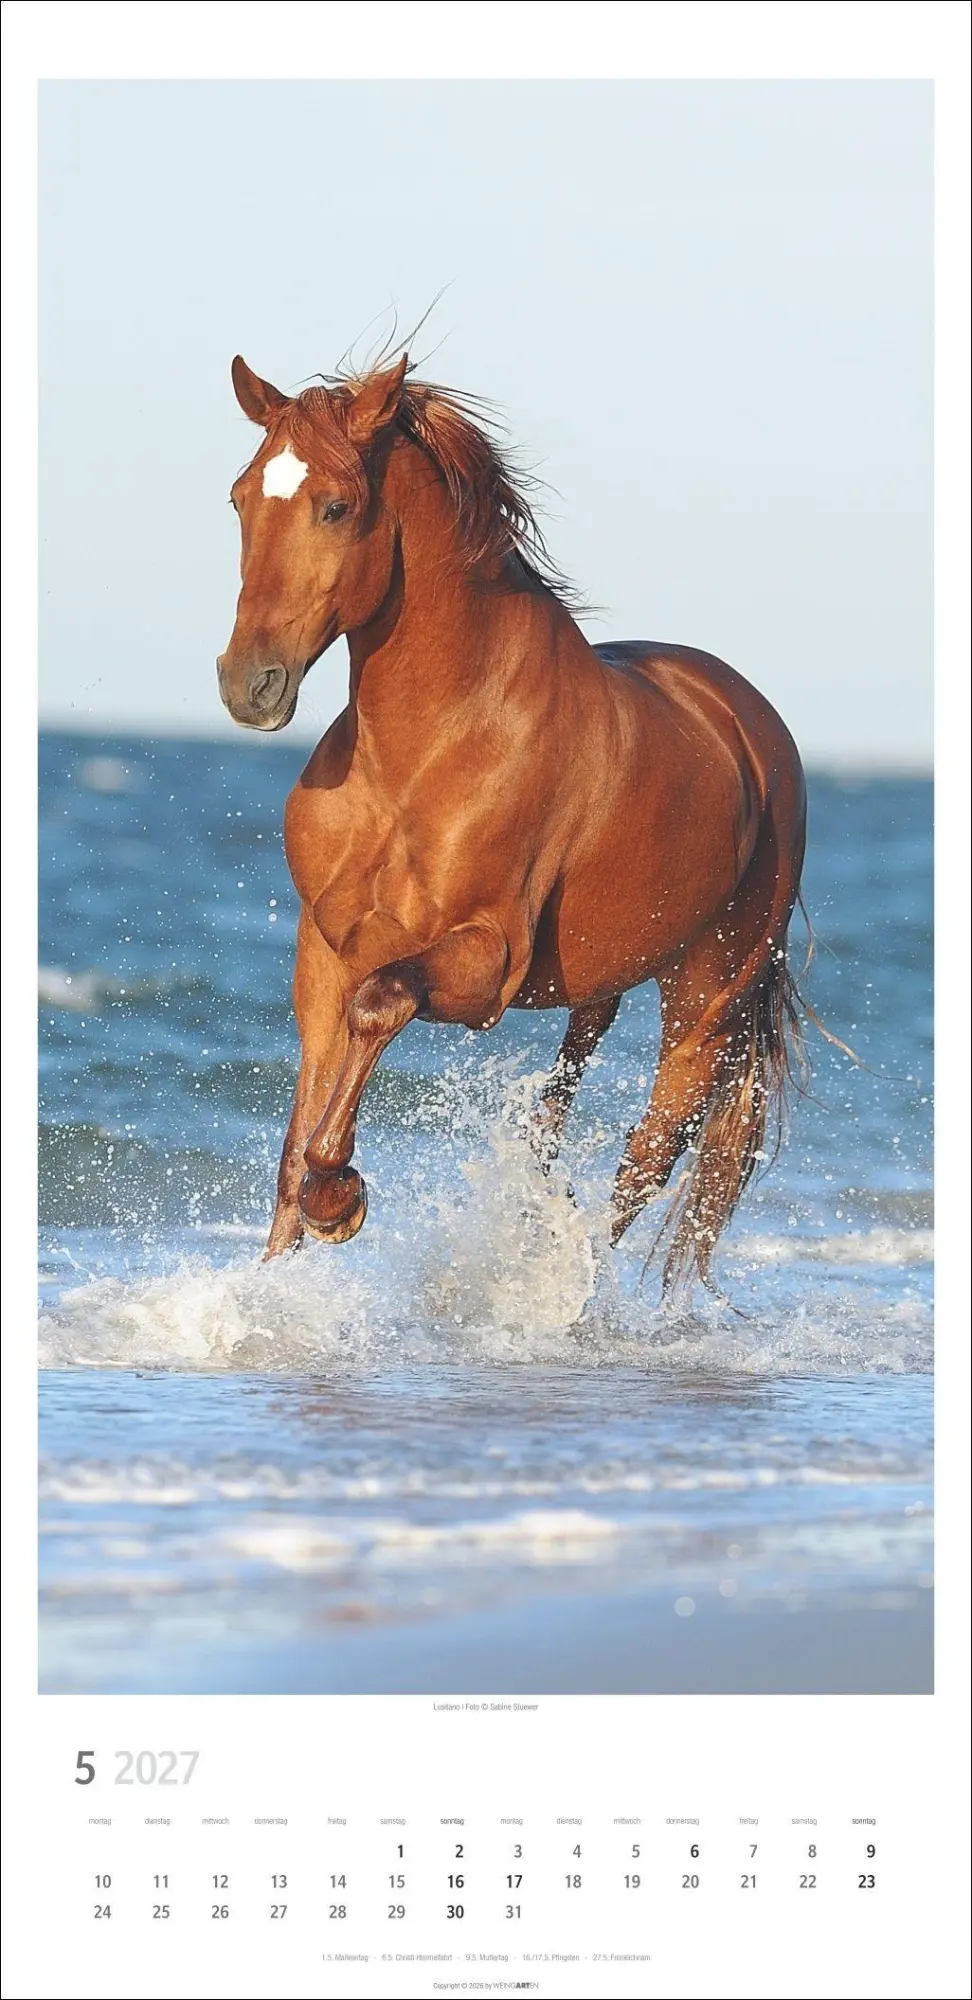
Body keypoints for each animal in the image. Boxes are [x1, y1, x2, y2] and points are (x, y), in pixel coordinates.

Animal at [217, 350, 807, 1292]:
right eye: (240, 499)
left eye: (335, 506)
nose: (250, 684)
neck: (426, 750)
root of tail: (753, 724)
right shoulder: (326, 945)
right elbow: (293, 1145)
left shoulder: (484, 960)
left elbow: (380, 1009)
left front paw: (339, 1195)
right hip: (601, 986)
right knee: (558, 1105)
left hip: (707, 1004)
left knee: (644, 1165)